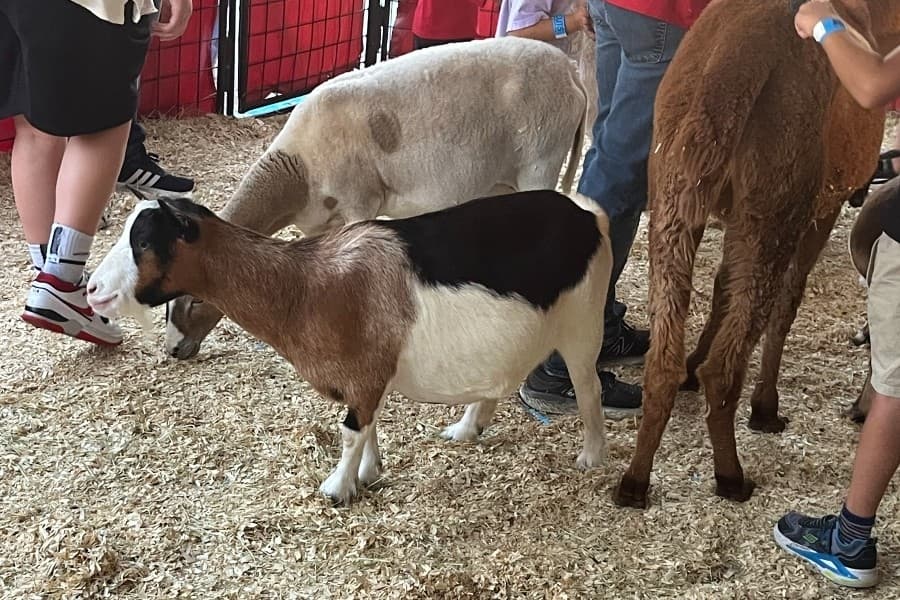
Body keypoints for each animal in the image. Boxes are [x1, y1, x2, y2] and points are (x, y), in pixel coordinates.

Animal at [86, 191, 612, 505]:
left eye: (144, 241)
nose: (92, 289)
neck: (306, 285)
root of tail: (589, 215)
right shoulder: (367, 378)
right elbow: (369, 426)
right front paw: (369, 473)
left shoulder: (365, 374)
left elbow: (350, 432)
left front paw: (337, 488)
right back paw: (465, 429)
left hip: (583, 326)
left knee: (590, 390)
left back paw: (591, 457)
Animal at [164, 35, 589, 360]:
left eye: (196, 299)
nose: (173, 351)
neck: (299, 169)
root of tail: (572, 73)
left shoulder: (359, 202)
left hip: (540, 159)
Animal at [613, 0, 900, 508]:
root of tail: (733, 57)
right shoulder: (820, 207)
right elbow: (788, 302)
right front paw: (766, 405)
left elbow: (722, 286)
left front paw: (694, 364)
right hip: (775, 206)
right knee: (726, 366)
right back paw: (731, 475)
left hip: (673, 195)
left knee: (663, 359)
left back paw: (635, 479)